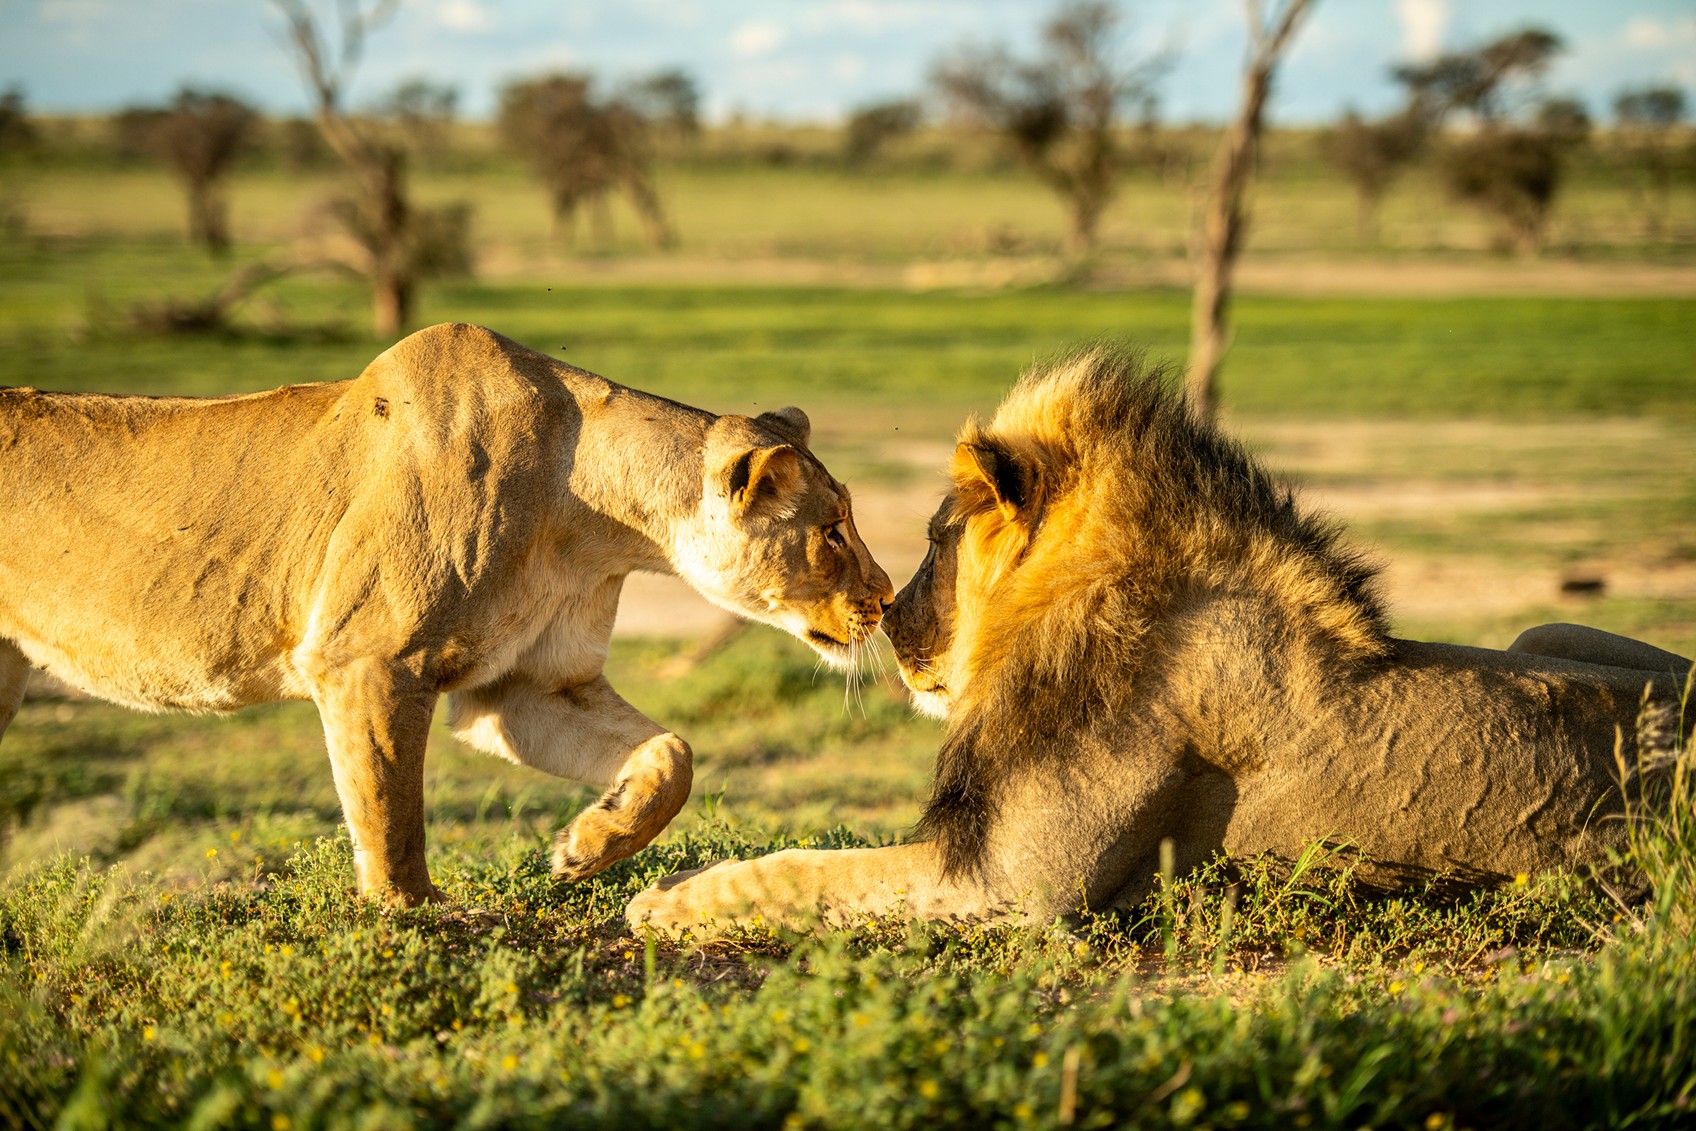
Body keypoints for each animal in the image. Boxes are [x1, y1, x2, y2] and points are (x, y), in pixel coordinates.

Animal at [0, 322, 895, 908]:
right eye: (831, 530)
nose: (887, 597)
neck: (594, 523)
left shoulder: (524, 687)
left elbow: (672, 755)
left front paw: (584, 846)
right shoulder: (369, 661)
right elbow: (389, 805)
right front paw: (413, 916)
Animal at [630, 349, 1689, 936]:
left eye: (933, 538)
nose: (888, 613)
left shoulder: (1015, 878)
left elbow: (802, 865)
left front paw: (663, 900)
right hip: (1546, 627)